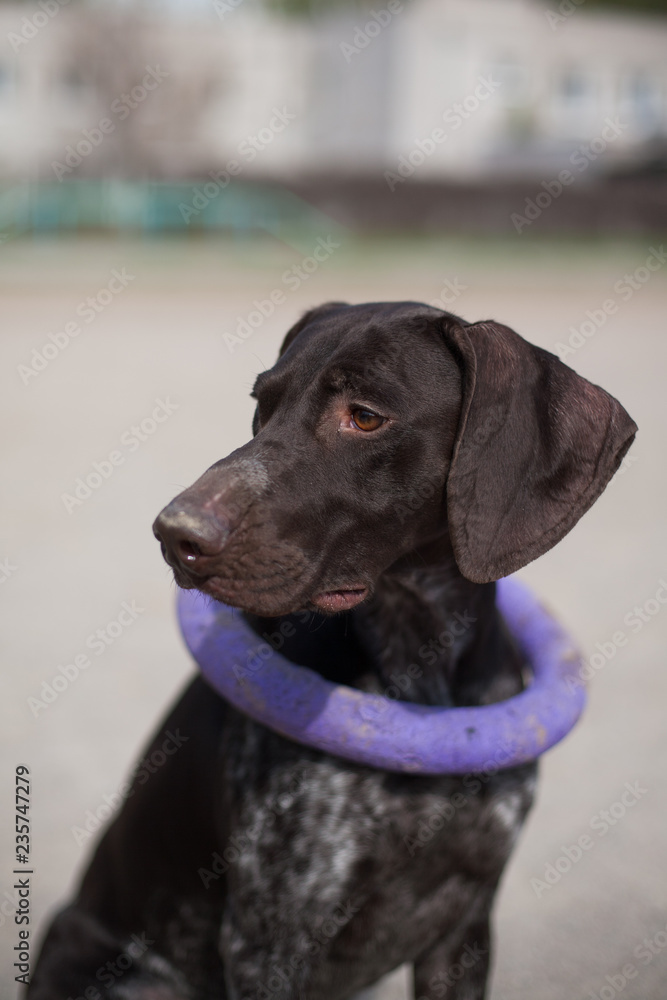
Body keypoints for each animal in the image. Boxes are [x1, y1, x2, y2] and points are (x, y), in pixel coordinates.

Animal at [31, 302, 636, 1000]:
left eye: (365, 416)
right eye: (263, 405)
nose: (174, 534)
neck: (418, 663)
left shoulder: (464, 930)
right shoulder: (270, 943)